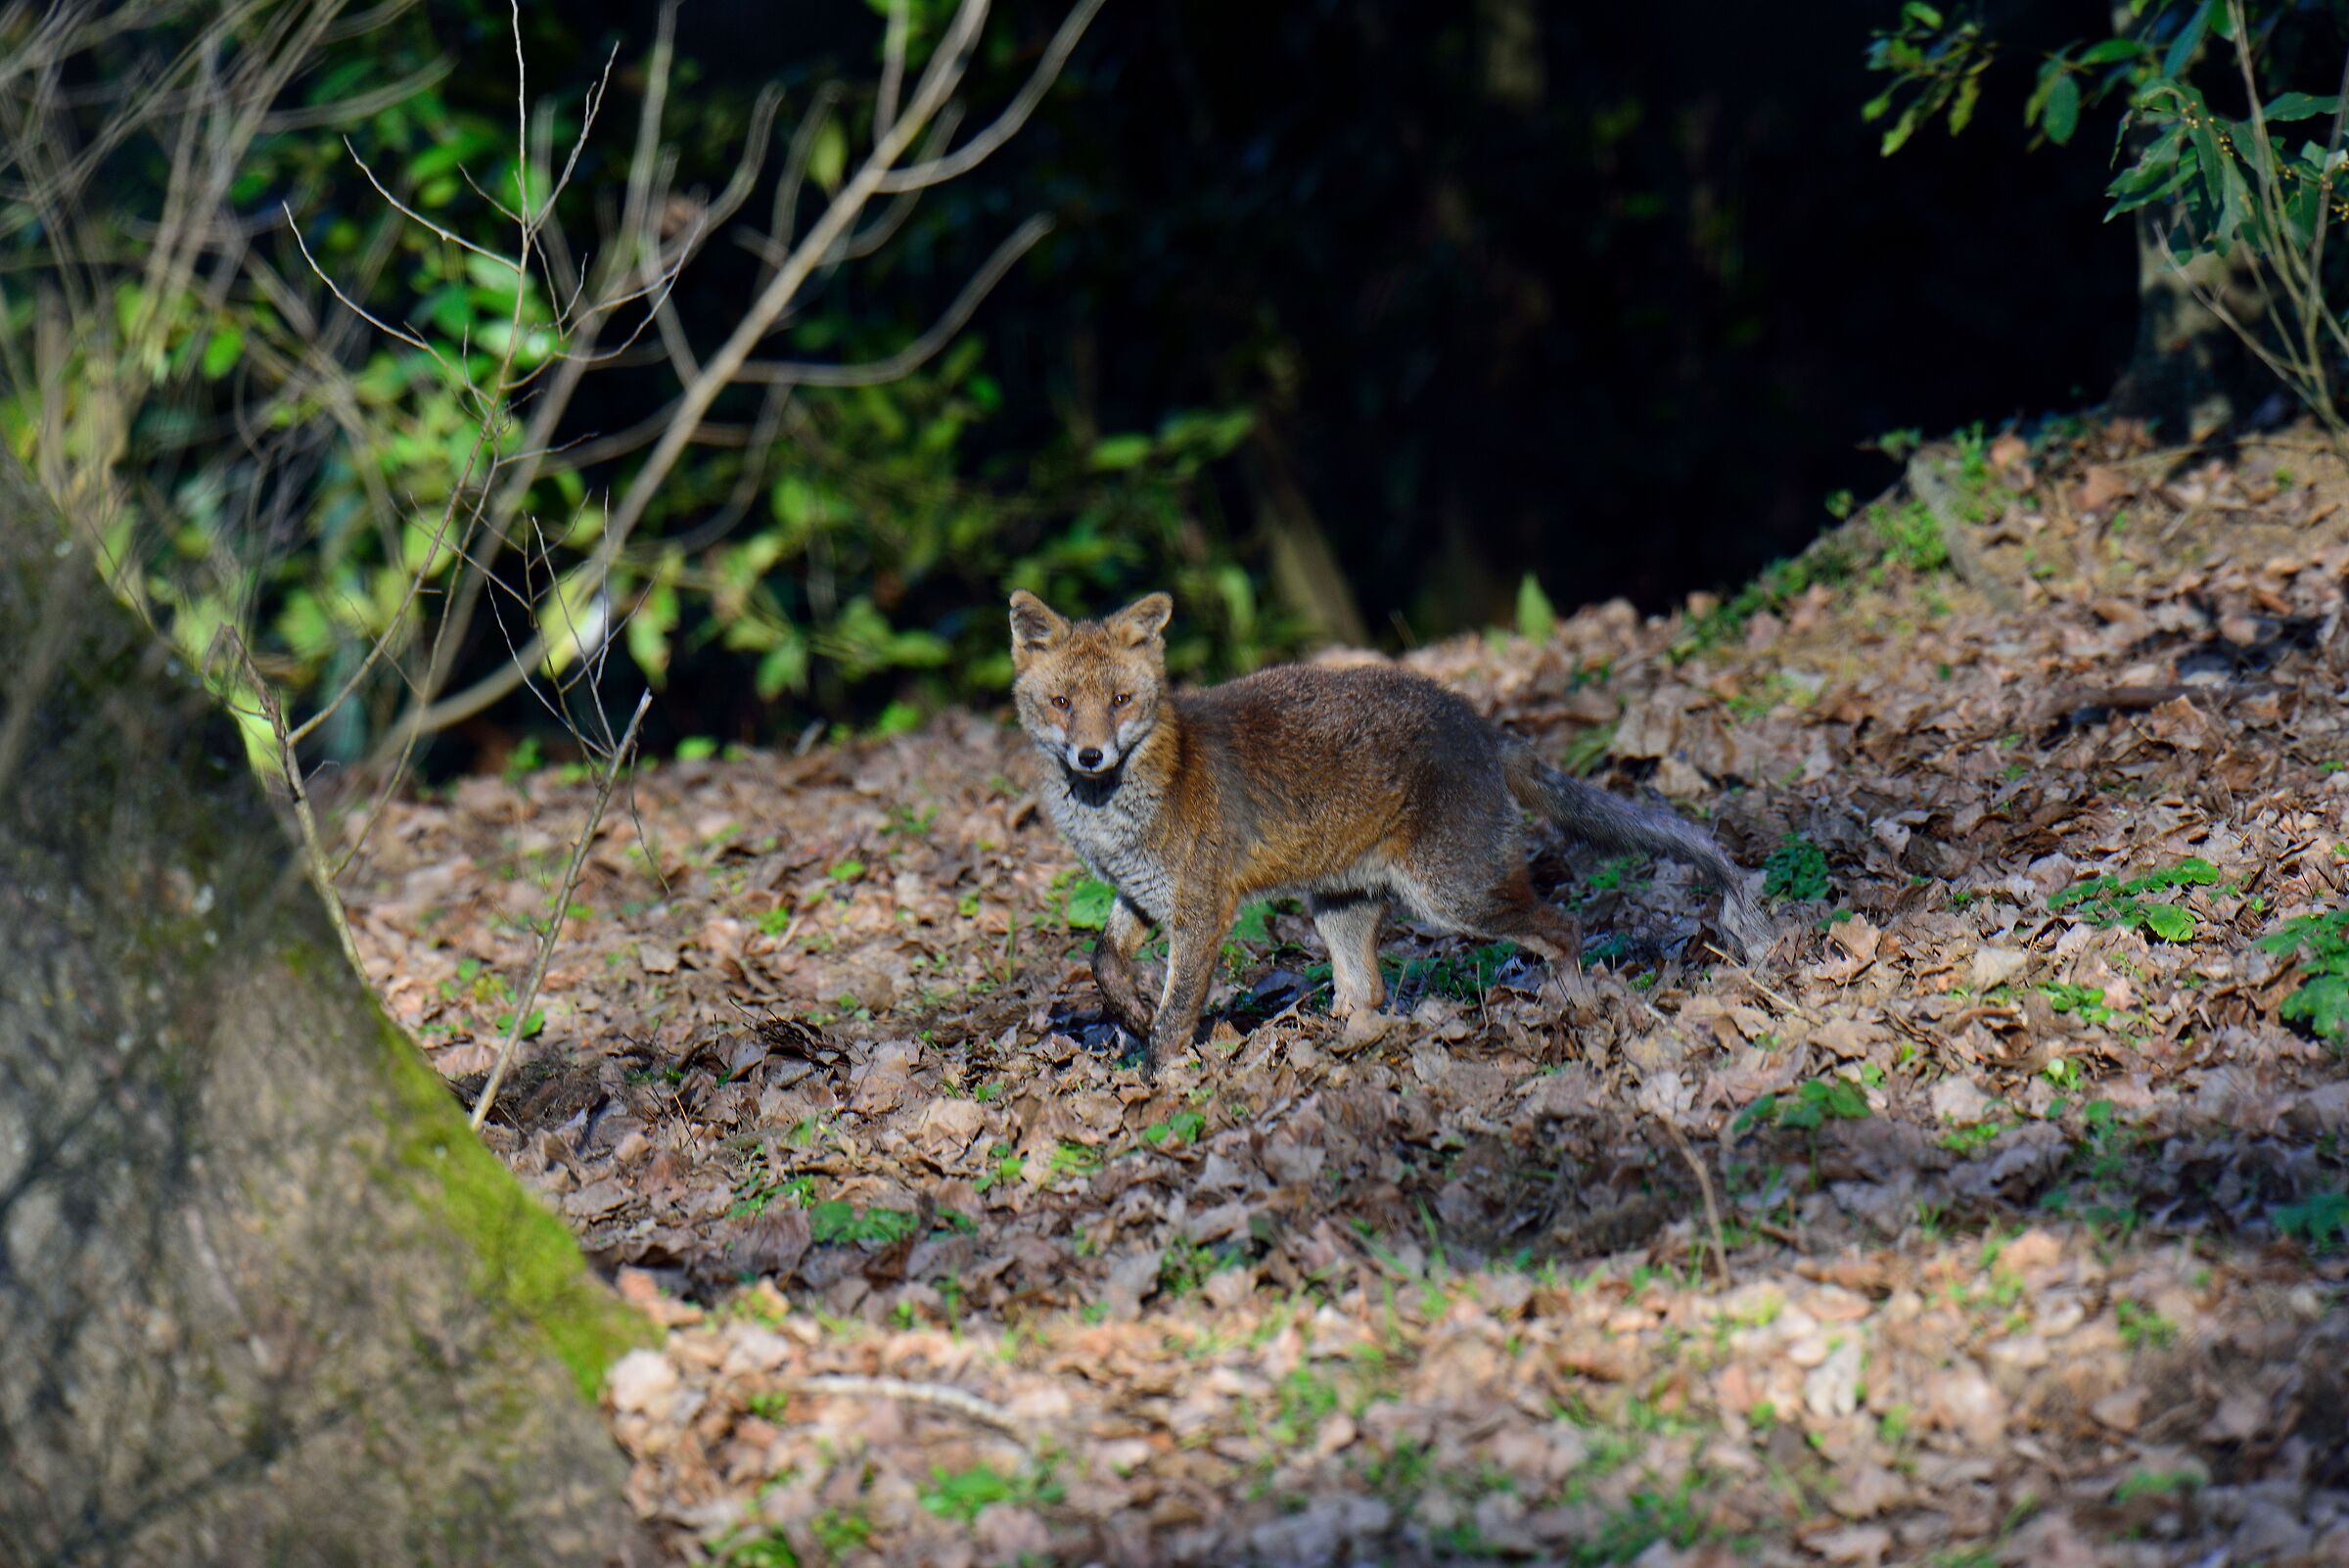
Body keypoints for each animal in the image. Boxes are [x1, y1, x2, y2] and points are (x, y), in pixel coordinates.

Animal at [1008, 589, 1769, 1073]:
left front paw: (1161, 1079)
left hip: (1453, 896)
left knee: (1563, 927)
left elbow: (1174, 1020)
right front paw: (1131, 1014)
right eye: (1062, 702)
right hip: (1340, 908)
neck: (1116, 812)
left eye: (1120, 701)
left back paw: (1575, 1008)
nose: (1090, 756)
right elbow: (1103, 963)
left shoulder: (1201, 905)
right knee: (1365, 994)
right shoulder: (1140, 893)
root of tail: (1480, 724)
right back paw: (1332, 1043)